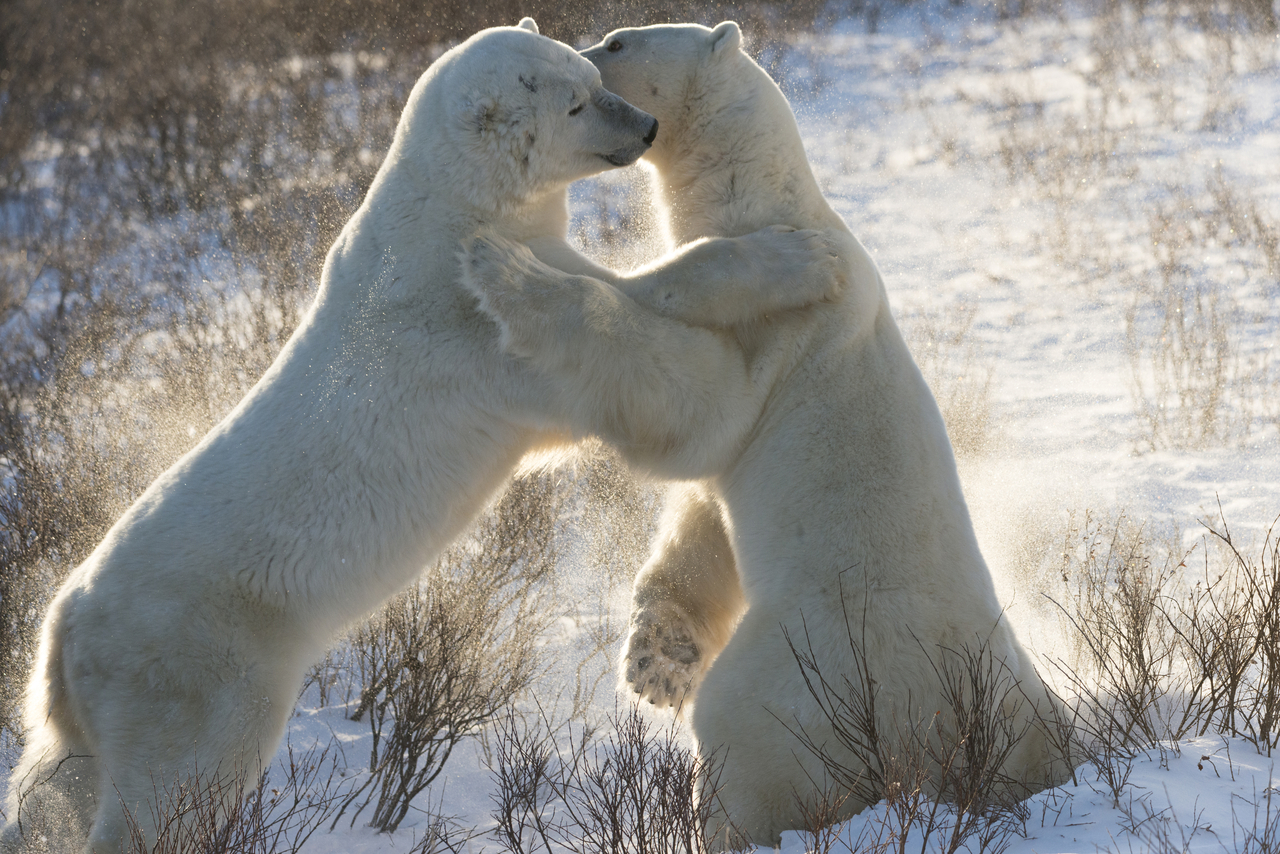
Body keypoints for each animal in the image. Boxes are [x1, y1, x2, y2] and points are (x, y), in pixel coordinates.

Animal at [2, 20, 849, 854]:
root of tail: (63, 629)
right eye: (576, 104)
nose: (643, 127)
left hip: (95, 701)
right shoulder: (467, 314)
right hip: (199, 662)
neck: (446, 206)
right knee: (173, 784)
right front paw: (805, 260)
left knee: (58, 783)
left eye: (594, 77)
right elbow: (615, 316)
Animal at [465, 20, 1075, 850]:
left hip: (807, 664)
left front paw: (509, 270)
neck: (764, 203)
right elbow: (702, 518)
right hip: (1011, 696)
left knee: (748, 734)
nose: (571, 54)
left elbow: (693, 403)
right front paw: (655, 664)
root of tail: (934, 719)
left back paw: (721, 820)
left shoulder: (778, 335)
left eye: (618, 42)